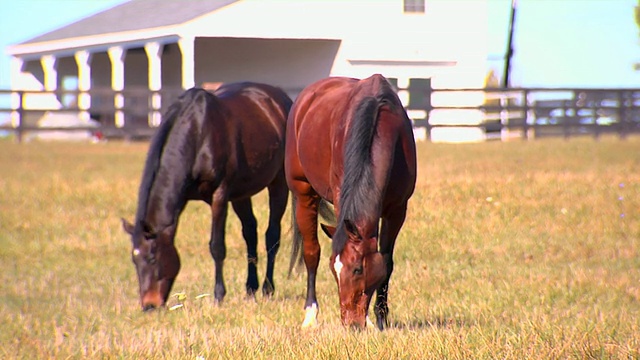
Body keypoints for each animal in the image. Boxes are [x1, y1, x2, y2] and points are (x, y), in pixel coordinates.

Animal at [121, 83, 292, 310]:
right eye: (134, 260)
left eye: (152, 258)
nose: (149, 305)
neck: (198, 134)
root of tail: (281, 99)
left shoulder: (219, 196)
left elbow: (217, 246)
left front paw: (218, 296)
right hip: (241, 194)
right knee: (250, 233)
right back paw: (251, 289)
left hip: (279, 184)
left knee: (272, 235)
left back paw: (267, 288)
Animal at [284, 73, 416, 330]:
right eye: (334, 269)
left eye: (357, 269)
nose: (351, 322)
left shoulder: (397, 209)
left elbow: (387, 260)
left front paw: (381, 318)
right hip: (304, 194)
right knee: (311, 253)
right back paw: (310, 315)